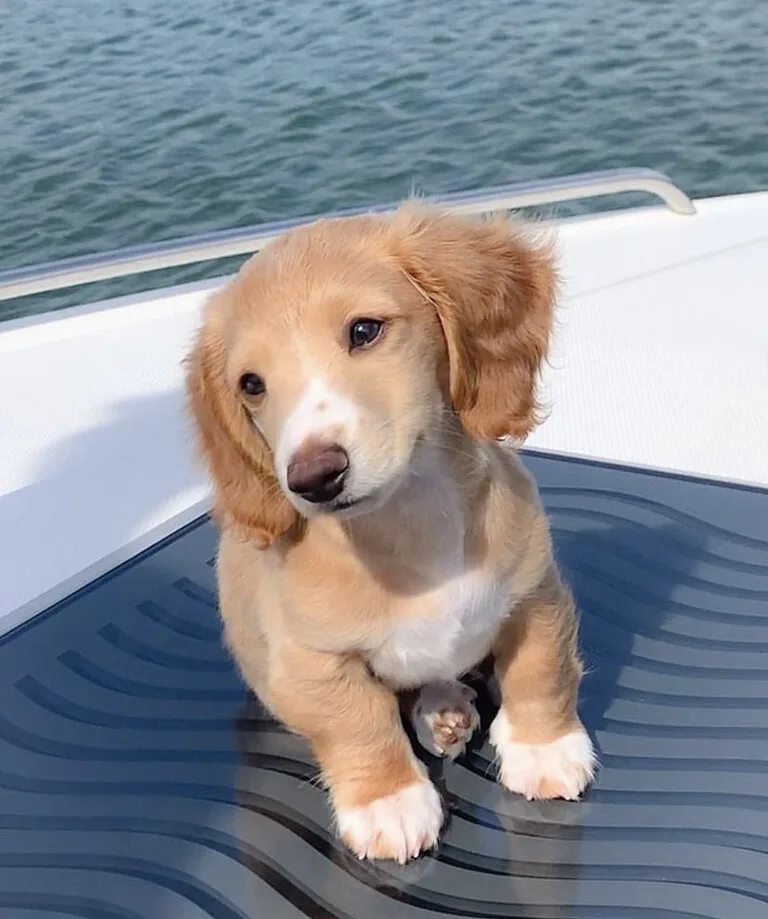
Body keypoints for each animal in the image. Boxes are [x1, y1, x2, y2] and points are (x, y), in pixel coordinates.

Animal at [184, 205, 592, 868]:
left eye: (364, 330)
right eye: (250, 384)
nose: (313, 478)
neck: (412, 520)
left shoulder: (537, 596)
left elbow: (542, 671)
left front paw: (544, 748)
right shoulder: (311, 662)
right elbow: (358, 721)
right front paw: (388, 802)